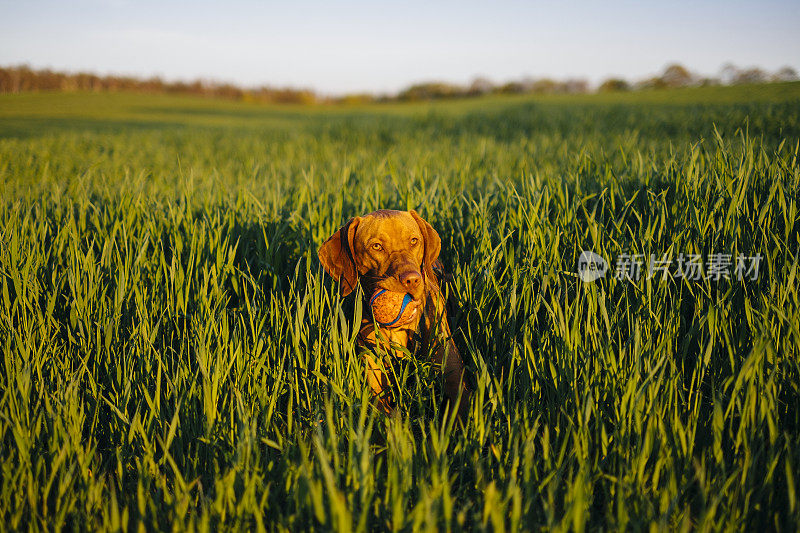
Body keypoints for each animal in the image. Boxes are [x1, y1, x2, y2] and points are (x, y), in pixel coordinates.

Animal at [318, 209, 468, 420]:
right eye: (376, 246)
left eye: (414, 241)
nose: (411, 280)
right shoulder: (373, 380)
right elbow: (386, 415)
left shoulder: (454, 374)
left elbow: (461, 410)